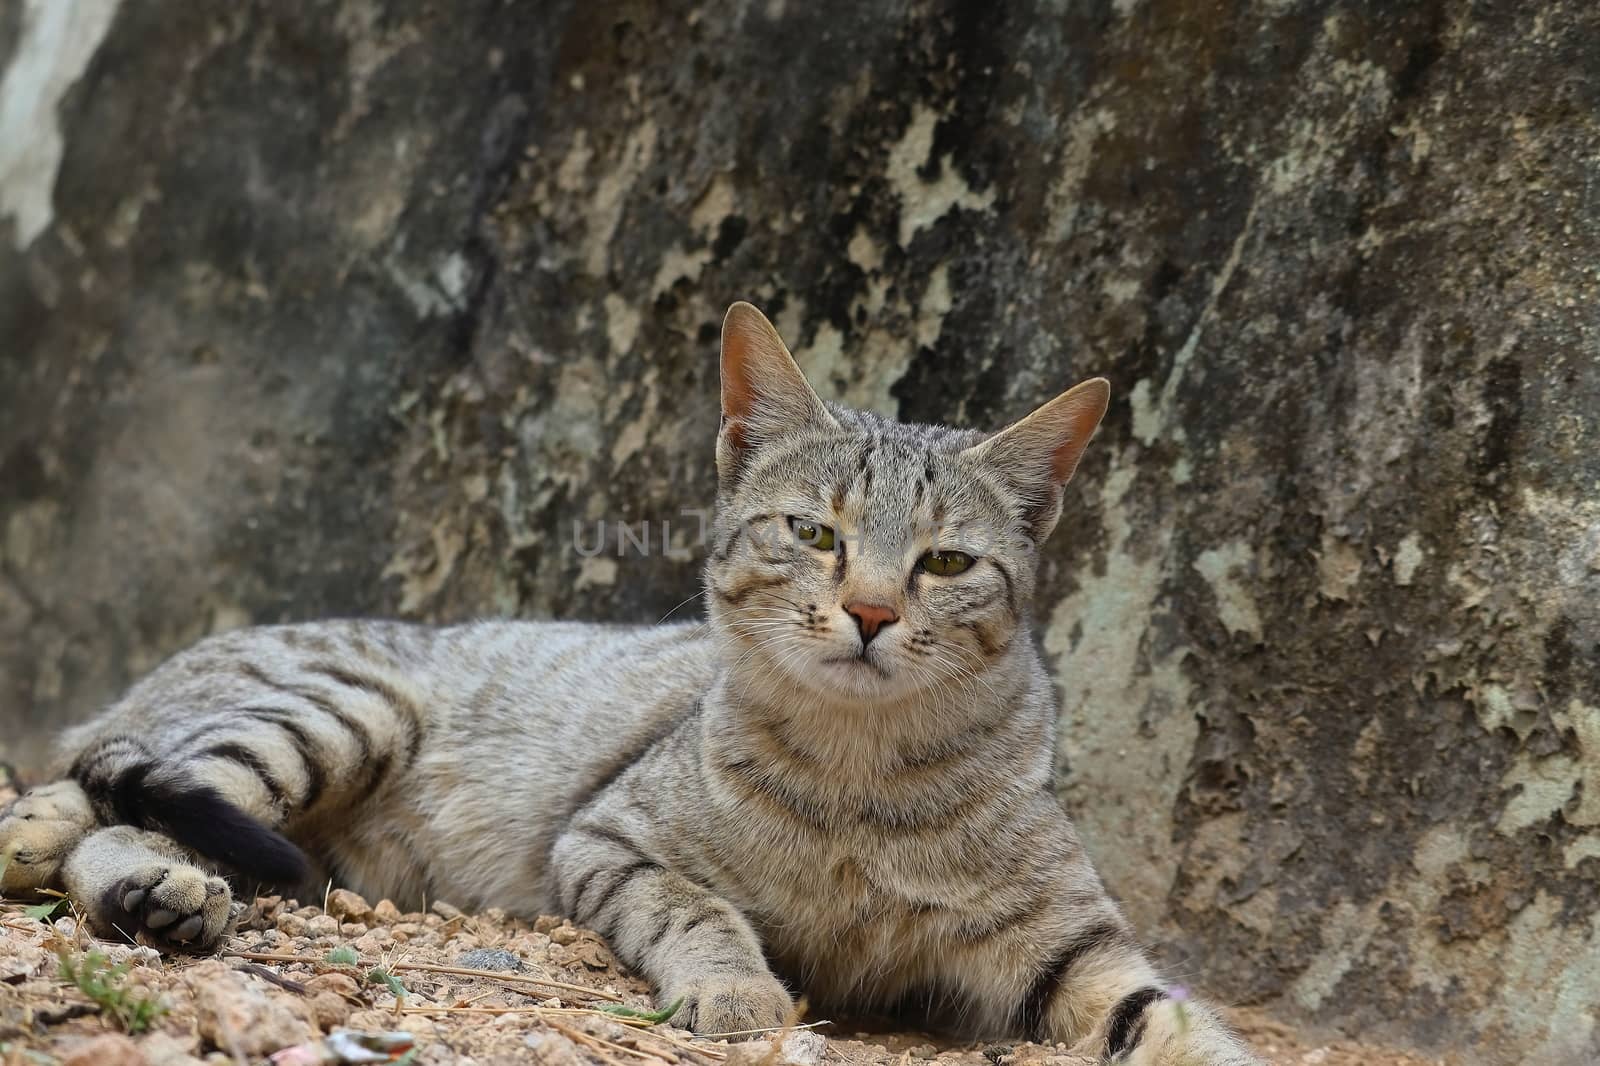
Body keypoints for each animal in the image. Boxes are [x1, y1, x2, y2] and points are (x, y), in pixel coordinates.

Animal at [0, 300, 1260, 1062]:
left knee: (78, 801)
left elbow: (1168, 1014)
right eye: (813, 532)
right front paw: (740, 987)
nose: (869, 612)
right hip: (335, 711)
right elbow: (697, 905)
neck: (862, 782)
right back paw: (152, 888)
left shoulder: (1071, 939)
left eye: (946, 563)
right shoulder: (607, 837)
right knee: (132, 805)